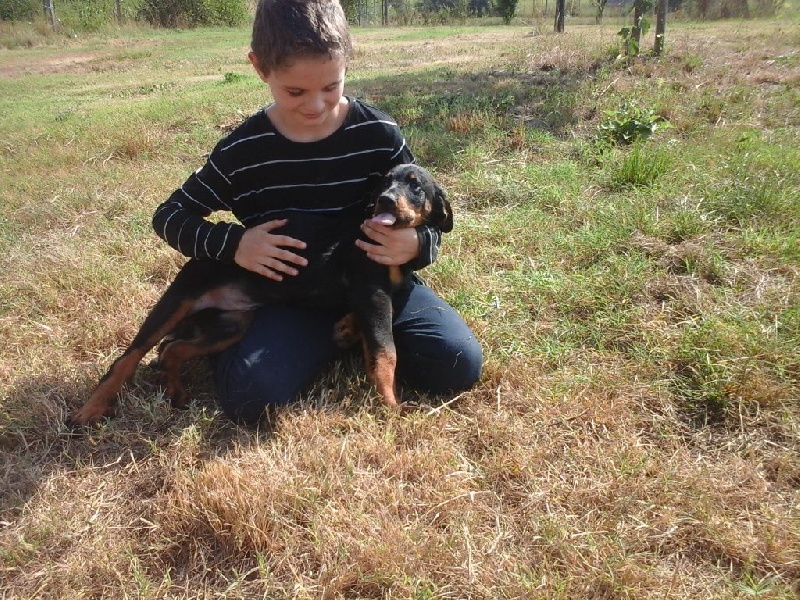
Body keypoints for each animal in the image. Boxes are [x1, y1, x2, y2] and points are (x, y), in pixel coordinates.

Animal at [69, 164, 454, 426]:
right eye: (383, 185)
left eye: (415, 186)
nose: (385, 201)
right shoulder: (372, 291)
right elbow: (385, 351)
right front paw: (390, 405)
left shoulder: (384, 292)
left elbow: (373, 328)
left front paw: (346, 328)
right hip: (177, 302)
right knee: (129, 358)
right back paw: (91, 409)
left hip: (231, 325)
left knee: (172, 349)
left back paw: (175, 389)